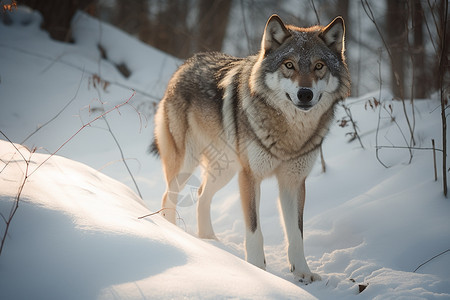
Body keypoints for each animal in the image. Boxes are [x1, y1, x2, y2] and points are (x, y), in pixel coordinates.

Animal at [152, 14, 352, 284]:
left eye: (319, 66)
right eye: (289, 65)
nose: (305, 94)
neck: (289, 133)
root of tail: (186, 63)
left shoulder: (294, 182)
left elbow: (296, 234)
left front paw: (302, 272)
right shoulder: (250, 176)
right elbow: (255, 230)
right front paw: (257, 270)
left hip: (224, 171)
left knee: (203, 195)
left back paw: (209, 240)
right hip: (187, 165)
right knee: (168, 196)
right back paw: (177, 234)